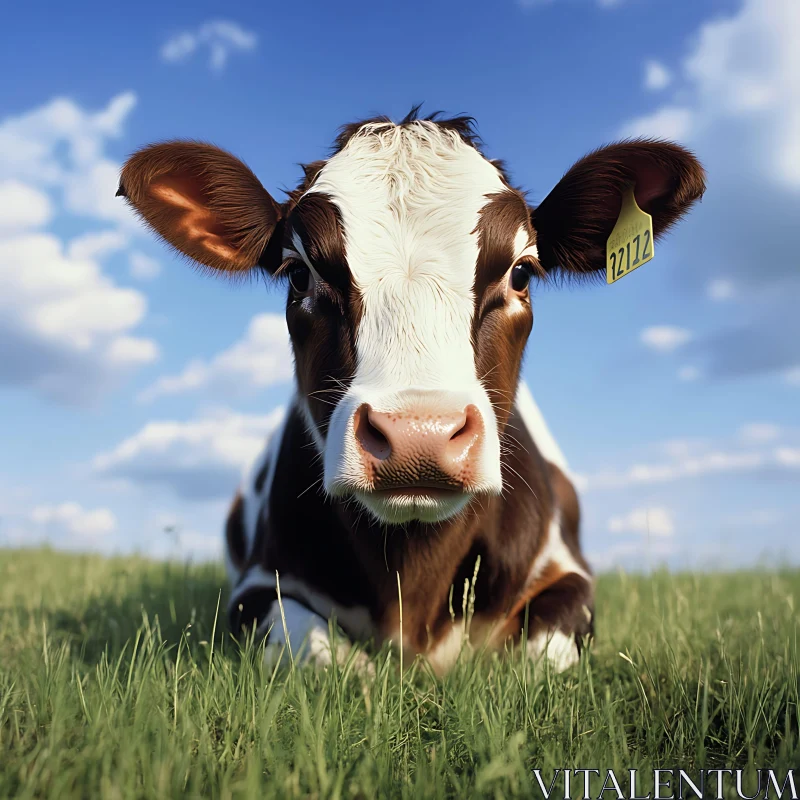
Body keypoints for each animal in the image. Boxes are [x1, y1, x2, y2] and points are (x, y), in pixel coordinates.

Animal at [115, 109, 704, 672]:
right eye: (299, 273)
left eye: (521, 272)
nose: (420, 436)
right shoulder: (254, 587)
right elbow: (324, 658)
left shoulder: (569, 574)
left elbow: (538, 661)